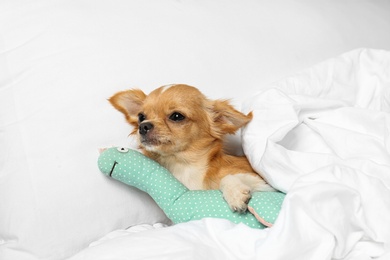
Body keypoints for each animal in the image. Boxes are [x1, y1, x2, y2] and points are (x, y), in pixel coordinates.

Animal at [109, 84, 274, 212]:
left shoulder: (265, 185)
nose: (143, 126)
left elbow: (227, 177)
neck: (183, 166)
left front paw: (235, 194)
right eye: (141, 117)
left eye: (177, 116)